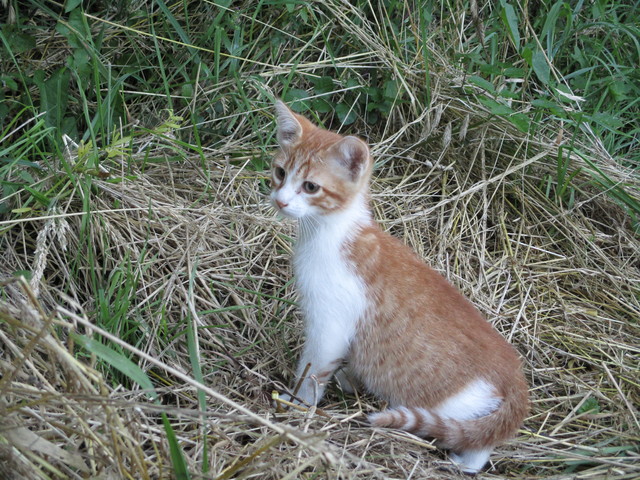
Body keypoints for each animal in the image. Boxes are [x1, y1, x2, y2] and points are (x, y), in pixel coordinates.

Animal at [272, 100, 528, 472]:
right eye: (280, 173)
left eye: (310, 187)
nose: (280, 201)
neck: (330, 234)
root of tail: (517, 378)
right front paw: (347, 380)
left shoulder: (329, 325)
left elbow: (313, 370)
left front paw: (298, 403)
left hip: (455, 405)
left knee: (480, 442)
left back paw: (462, 462)